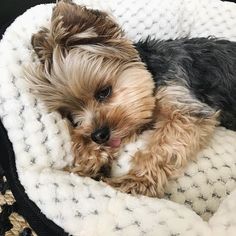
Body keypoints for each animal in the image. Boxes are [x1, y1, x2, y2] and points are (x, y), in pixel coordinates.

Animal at [25, 0, 236, 197]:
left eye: (104, 91)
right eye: (71, 114)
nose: (99, 135)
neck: (150, 70)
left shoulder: (185, 110)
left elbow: (163, 148)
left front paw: (135, 181)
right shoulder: (141, 111)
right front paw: (89, 157)